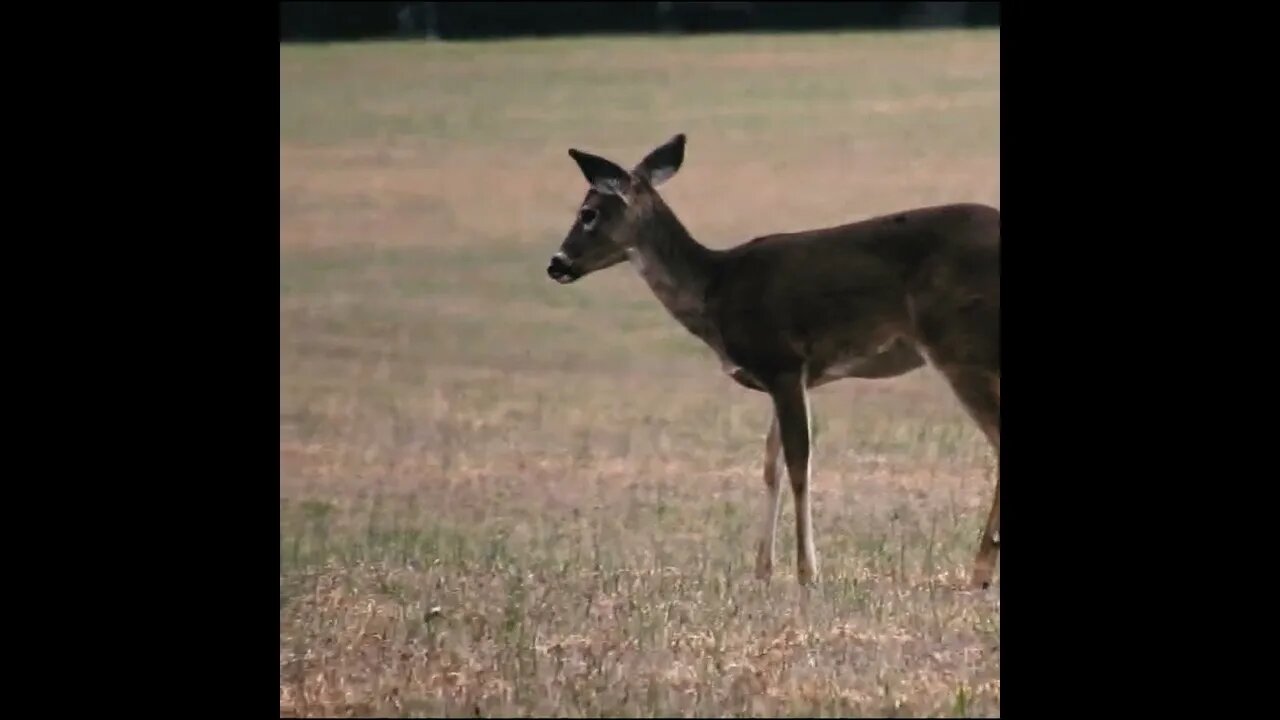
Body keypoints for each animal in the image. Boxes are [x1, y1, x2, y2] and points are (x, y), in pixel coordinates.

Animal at [545, 134, 1000, 590]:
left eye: (588, 212)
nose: (556, 263)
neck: (714, 289)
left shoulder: (784, 363)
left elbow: (799, 461)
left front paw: (807, 572)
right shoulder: (783, 377)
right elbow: (770, 464)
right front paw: (762, 569)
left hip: (960, 345)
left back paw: (979, 572)